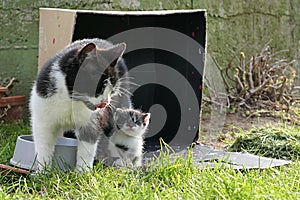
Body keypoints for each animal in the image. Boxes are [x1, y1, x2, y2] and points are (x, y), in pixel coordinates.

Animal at [30, 38, 131, 171]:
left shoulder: (92, 121)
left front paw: (83, 173)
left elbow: (87, 147)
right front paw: (42, 172)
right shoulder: (43, 119)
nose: (106, 103)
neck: (71, 100)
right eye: (99, 87)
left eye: (112, 90)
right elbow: (43, 147)